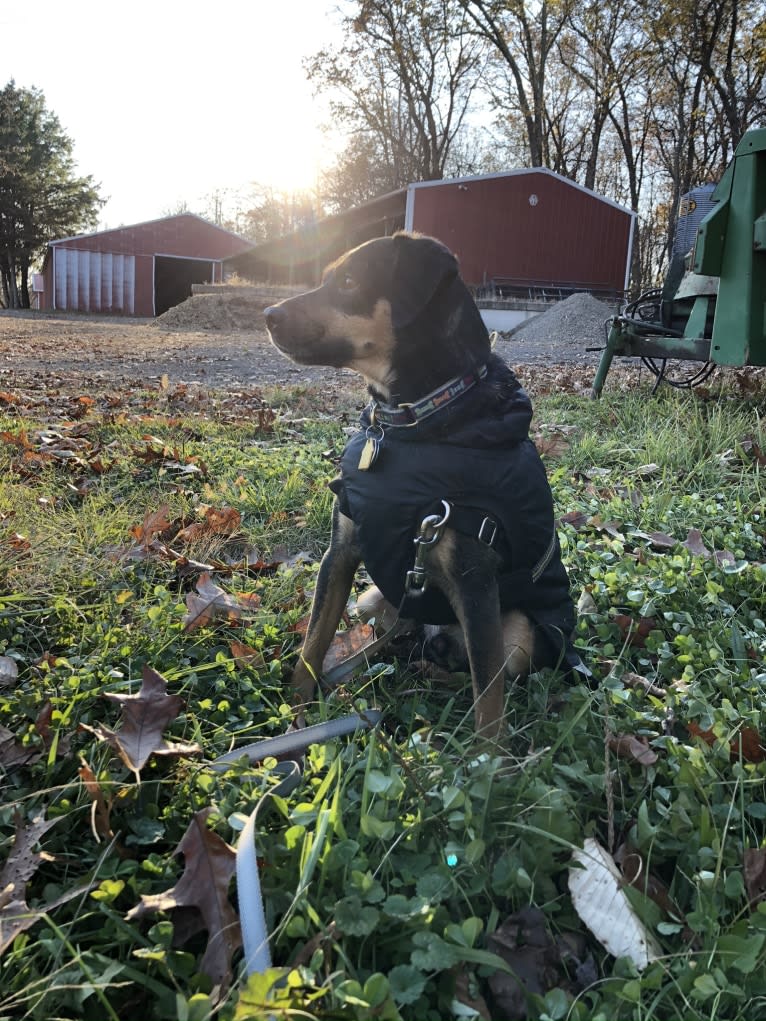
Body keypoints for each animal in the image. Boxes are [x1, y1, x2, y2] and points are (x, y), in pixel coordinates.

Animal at [265, 233, 580, 743]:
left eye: (348, 282)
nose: (268, 315)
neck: (407, 425)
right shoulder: (340, 554)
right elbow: (310, 649)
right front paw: (291, 720)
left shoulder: (474, 582)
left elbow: (489, 698)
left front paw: (490, 762)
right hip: (374, 599)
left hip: (518, 629)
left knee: (477, 667)